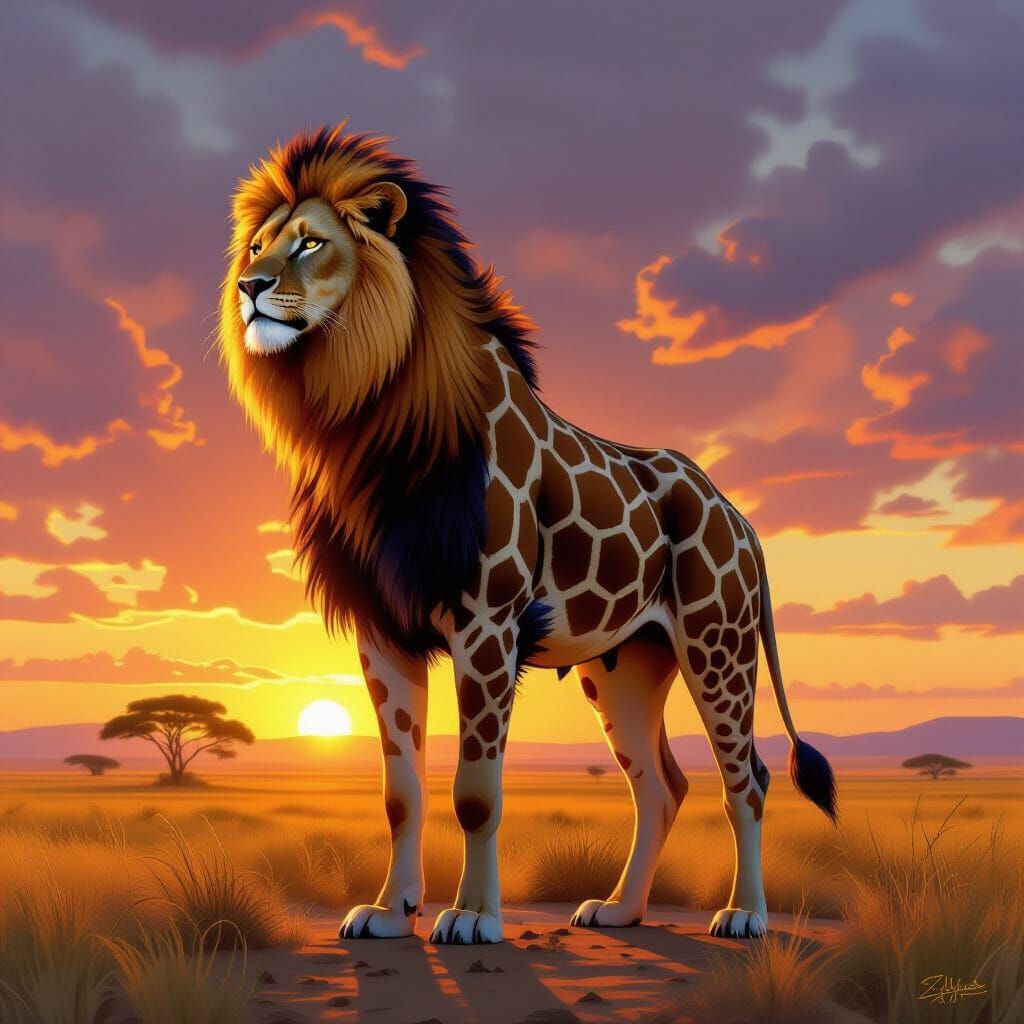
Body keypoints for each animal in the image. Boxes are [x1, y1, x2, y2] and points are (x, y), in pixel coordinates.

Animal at [219, 125, 837, 947]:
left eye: (311, 242)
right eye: (258, 244)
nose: (249, 286)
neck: (370, 417)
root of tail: (739, 515)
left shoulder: (486, 624)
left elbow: (476, 791)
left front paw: (474, 917)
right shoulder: (384, 631)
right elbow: (400, 792)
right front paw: (389, 912)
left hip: (718, 645)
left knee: (749, 779)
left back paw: (746, 915)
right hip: (624, 666)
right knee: (660, 785)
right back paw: (619, 910)